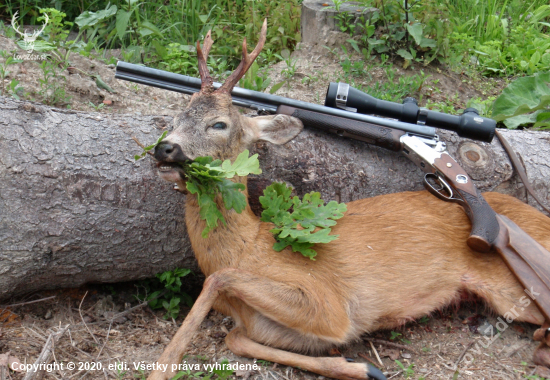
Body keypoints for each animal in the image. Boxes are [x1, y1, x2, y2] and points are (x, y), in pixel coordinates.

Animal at [149, 21, 550, 380]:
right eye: (174, 119)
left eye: (219, 124)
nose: (164, 148)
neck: (248, 246)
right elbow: (234, 338)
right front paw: (363, 368)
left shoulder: (329, 304)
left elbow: (219, 280)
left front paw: (163, 367)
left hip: (511, 291)